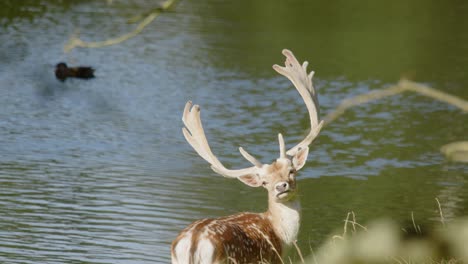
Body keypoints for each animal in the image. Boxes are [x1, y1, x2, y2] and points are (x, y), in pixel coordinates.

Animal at [171, 50, 322, 264]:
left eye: (292, 171)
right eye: (265, 182)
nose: (281, 186)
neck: (280, 236)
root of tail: (193, 241)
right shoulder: (272, 259)